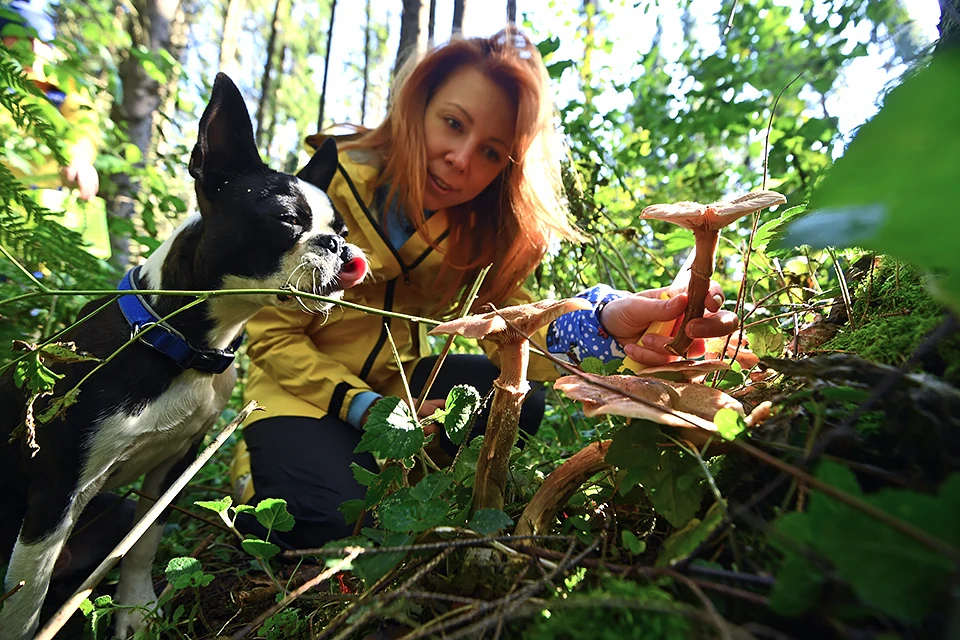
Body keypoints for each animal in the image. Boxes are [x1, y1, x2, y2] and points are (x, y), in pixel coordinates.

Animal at [0, 72, 368, 636]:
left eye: (343, 230)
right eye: (286, 219)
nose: (338, 247)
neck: (181, 341)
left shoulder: (176, 462)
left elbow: (143, 543)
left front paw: (135, 611)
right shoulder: (54, 495)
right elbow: (23, 604)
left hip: (108, 514)